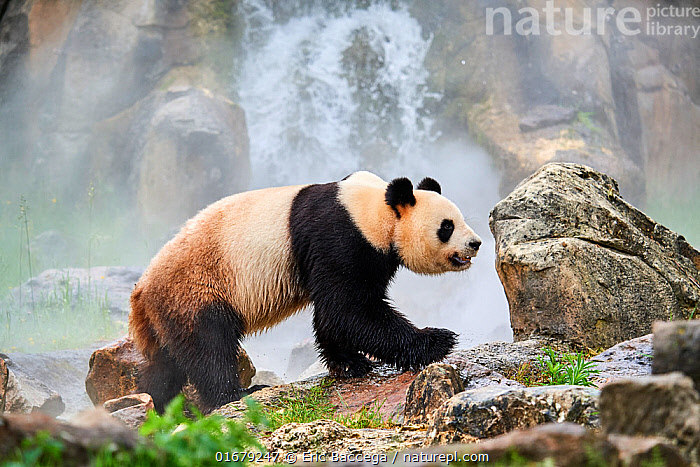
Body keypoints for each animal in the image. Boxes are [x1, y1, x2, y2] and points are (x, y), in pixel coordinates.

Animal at [129, 170, 482, 412]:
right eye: (447, 226)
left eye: (460, 219)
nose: (475, 243)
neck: (374, 208)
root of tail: (141, 292)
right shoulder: (340, 236)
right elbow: (348, 309)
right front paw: (437, 340)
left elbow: (340, 313)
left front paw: (349, 363)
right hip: (197, 287)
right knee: (209, 347)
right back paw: (234, 396)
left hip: (169, 310)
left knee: (167, 363)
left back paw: (156, 402)